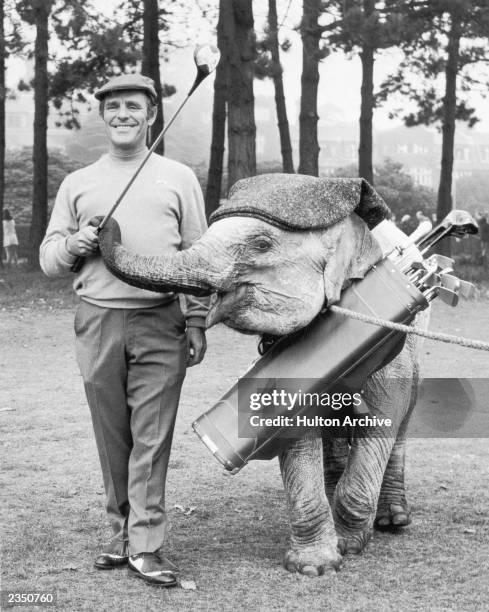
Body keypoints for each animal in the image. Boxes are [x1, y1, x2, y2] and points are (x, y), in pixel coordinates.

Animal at [98, 175, 424, 576]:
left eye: (262, 244)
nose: (101, 223)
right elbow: (293, 431)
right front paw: (315, 566)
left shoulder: (389, 339)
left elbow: (381, 418)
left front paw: (349, 544)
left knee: (403, 420)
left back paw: (392, 519)